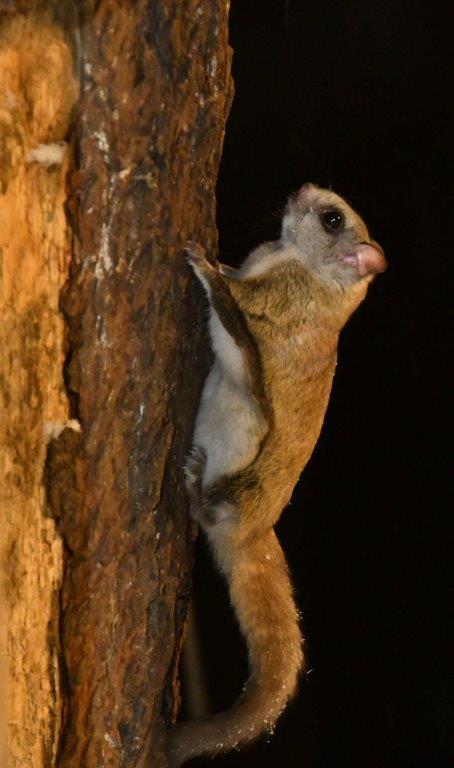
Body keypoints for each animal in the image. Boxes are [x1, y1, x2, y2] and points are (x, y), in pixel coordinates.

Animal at [167, 183, 386, 766]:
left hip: (244, 428)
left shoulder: (273, 302)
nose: (300, 190)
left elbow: (230, 304)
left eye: (332, 219)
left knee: (210, 504)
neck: (307, 269)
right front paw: (216, 259)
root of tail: (254, 531)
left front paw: (203, 263)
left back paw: (197, 487)